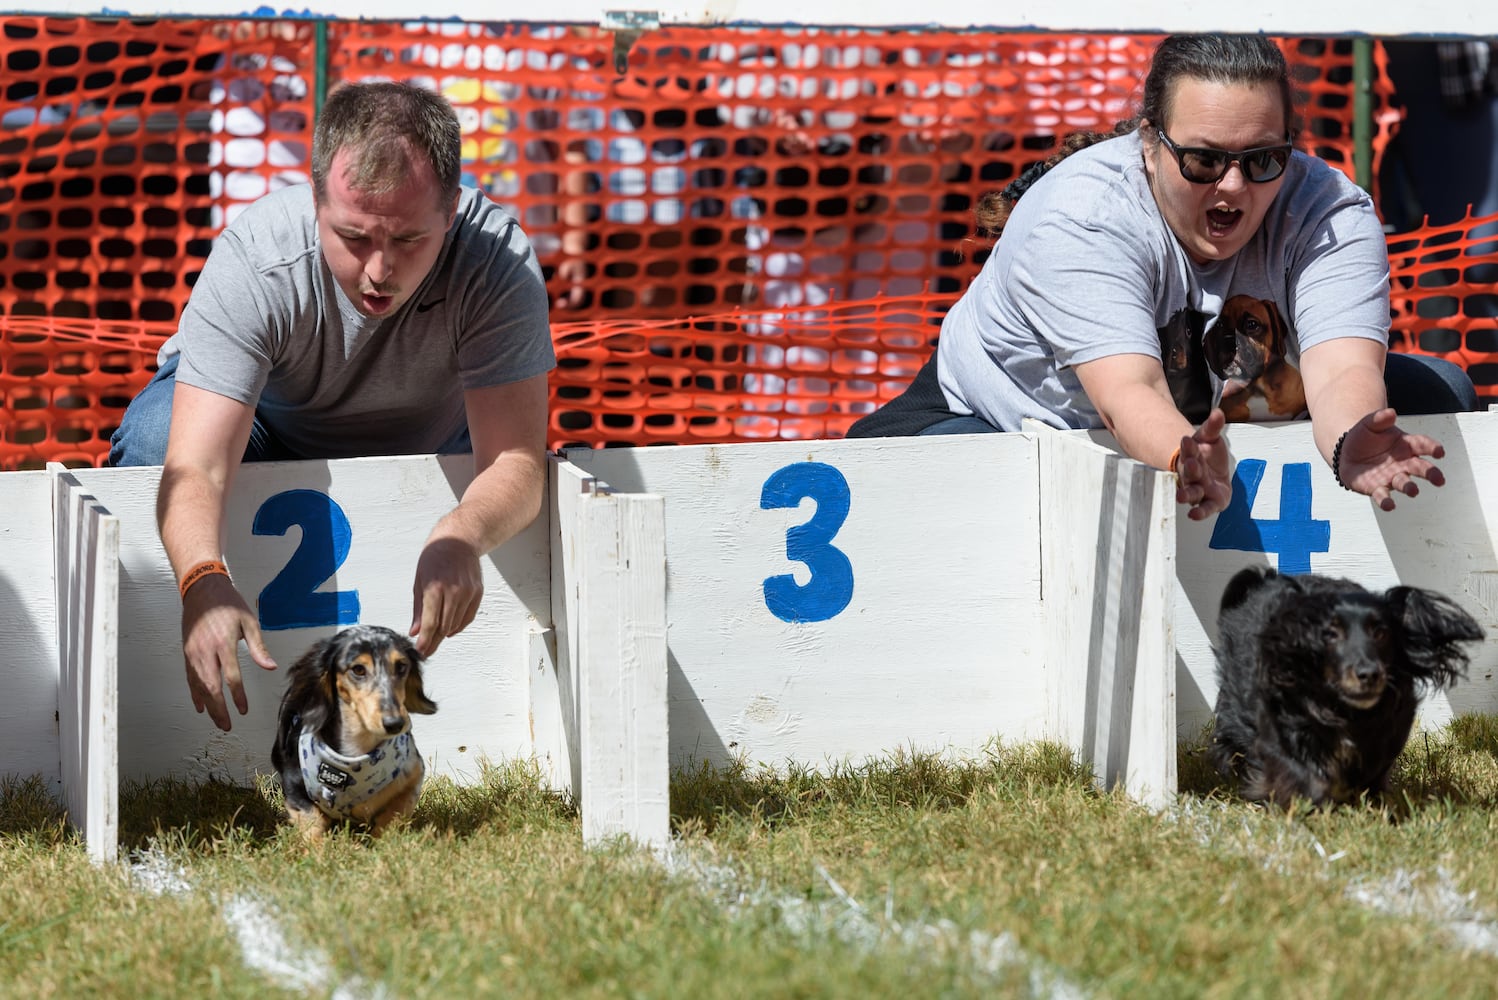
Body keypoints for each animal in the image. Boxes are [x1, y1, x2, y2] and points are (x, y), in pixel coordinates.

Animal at [272, 625, 437, 844]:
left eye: (401, 666)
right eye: (358, 669)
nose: (395, 724)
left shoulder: (413, 777)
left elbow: (392, 814)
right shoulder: (294, 788)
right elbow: (313, 823)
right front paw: (318, 851)